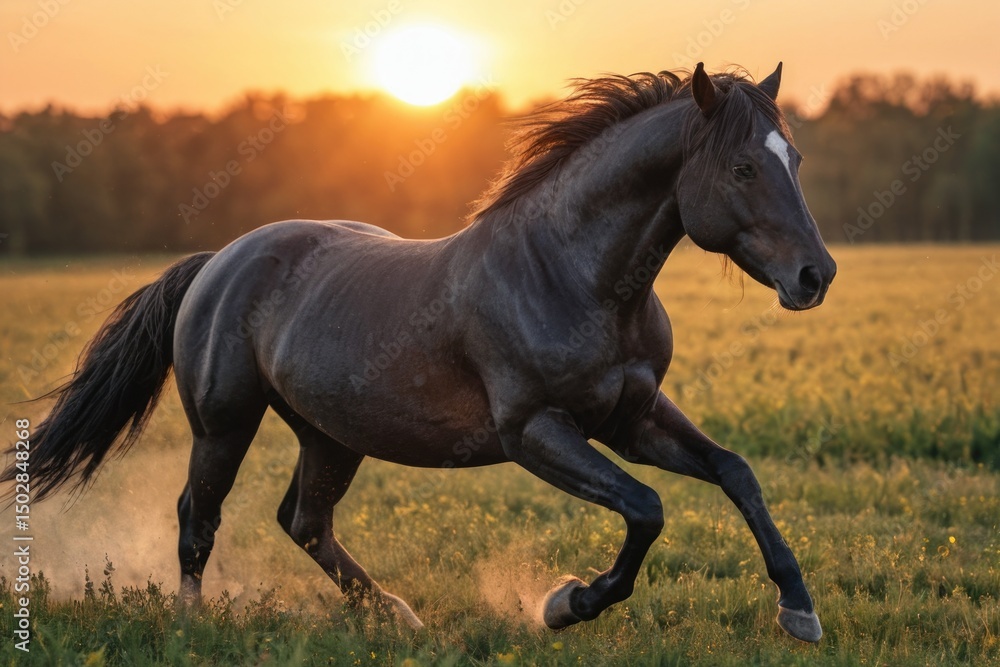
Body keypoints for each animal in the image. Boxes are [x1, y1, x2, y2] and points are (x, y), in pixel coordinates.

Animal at [3, 62, 834, 642]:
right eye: (741, 167)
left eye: (795, 158)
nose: (815, 275)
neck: (572, 274)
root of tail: (218, 261)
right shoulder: (535, 430)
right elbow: (647, 508)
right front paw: (565, 602)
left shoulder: (633, 417)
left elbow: (734, 472)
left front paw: (799, 610)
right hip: (225, 425)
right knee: (198, 518)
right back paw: (193, 625)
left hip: (332, 434)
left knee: (304, 521)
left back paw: (395, 615)